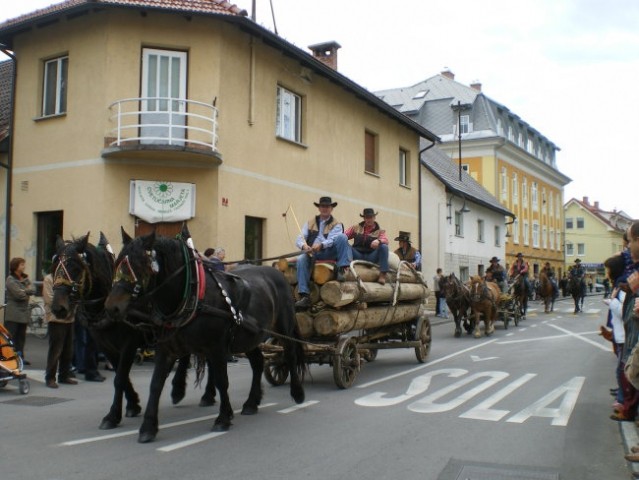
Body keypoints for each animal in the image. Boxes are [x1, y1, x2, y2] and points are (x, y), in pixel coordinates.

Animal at [51, 232, 216, 432]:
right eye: (55, 266)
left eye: (75, 266)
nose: (58, 308)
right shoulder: (106, 346)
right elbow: (121, 376)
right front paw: (133, 404)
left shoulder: (129, 344)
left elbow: (120, 379)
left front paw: (113, 416)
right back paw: (180, 389)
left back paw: (202, 393)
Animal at [104, 229, 306, 442]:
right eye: (118, 263)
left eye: (140, 265)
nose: (111, 308)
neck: (192, 295)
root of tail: (277, 273)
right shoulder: (166, 348)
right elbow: (156, 384)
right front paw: (148, 427)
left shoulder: (216, 347)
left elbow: (221, 380)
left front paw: (223, 418)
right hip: (249, 337)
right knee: (258, 362)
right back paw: (251, 403)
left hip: (283, 326)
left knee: (290, 354)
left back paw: (297, 393)